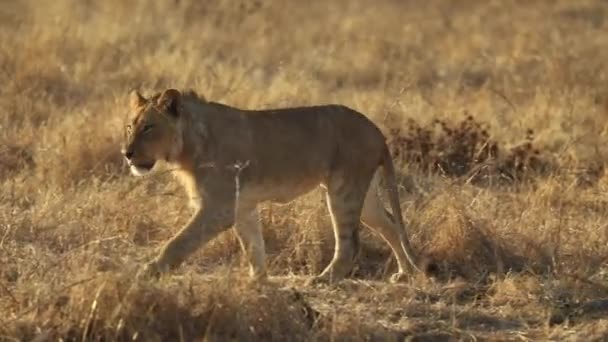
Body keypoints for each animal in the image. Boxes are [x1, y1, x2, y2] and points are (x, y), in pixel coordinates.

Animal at [121, 87, 420, 284]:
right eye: (129, 127)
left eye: (148, 127)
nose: (126, 153)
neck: (189, 145)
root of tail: (378, 131)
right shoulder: (242, 206)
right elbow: (253, 245)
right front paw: (258, 281)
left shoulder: (219, 207)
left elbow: (179, 242)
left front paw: (149, 271)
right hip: (364, 195)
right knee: (390, 224)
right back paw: (405, 272)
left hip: (343, 190)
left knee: (350, 244)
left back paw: (323, 279)